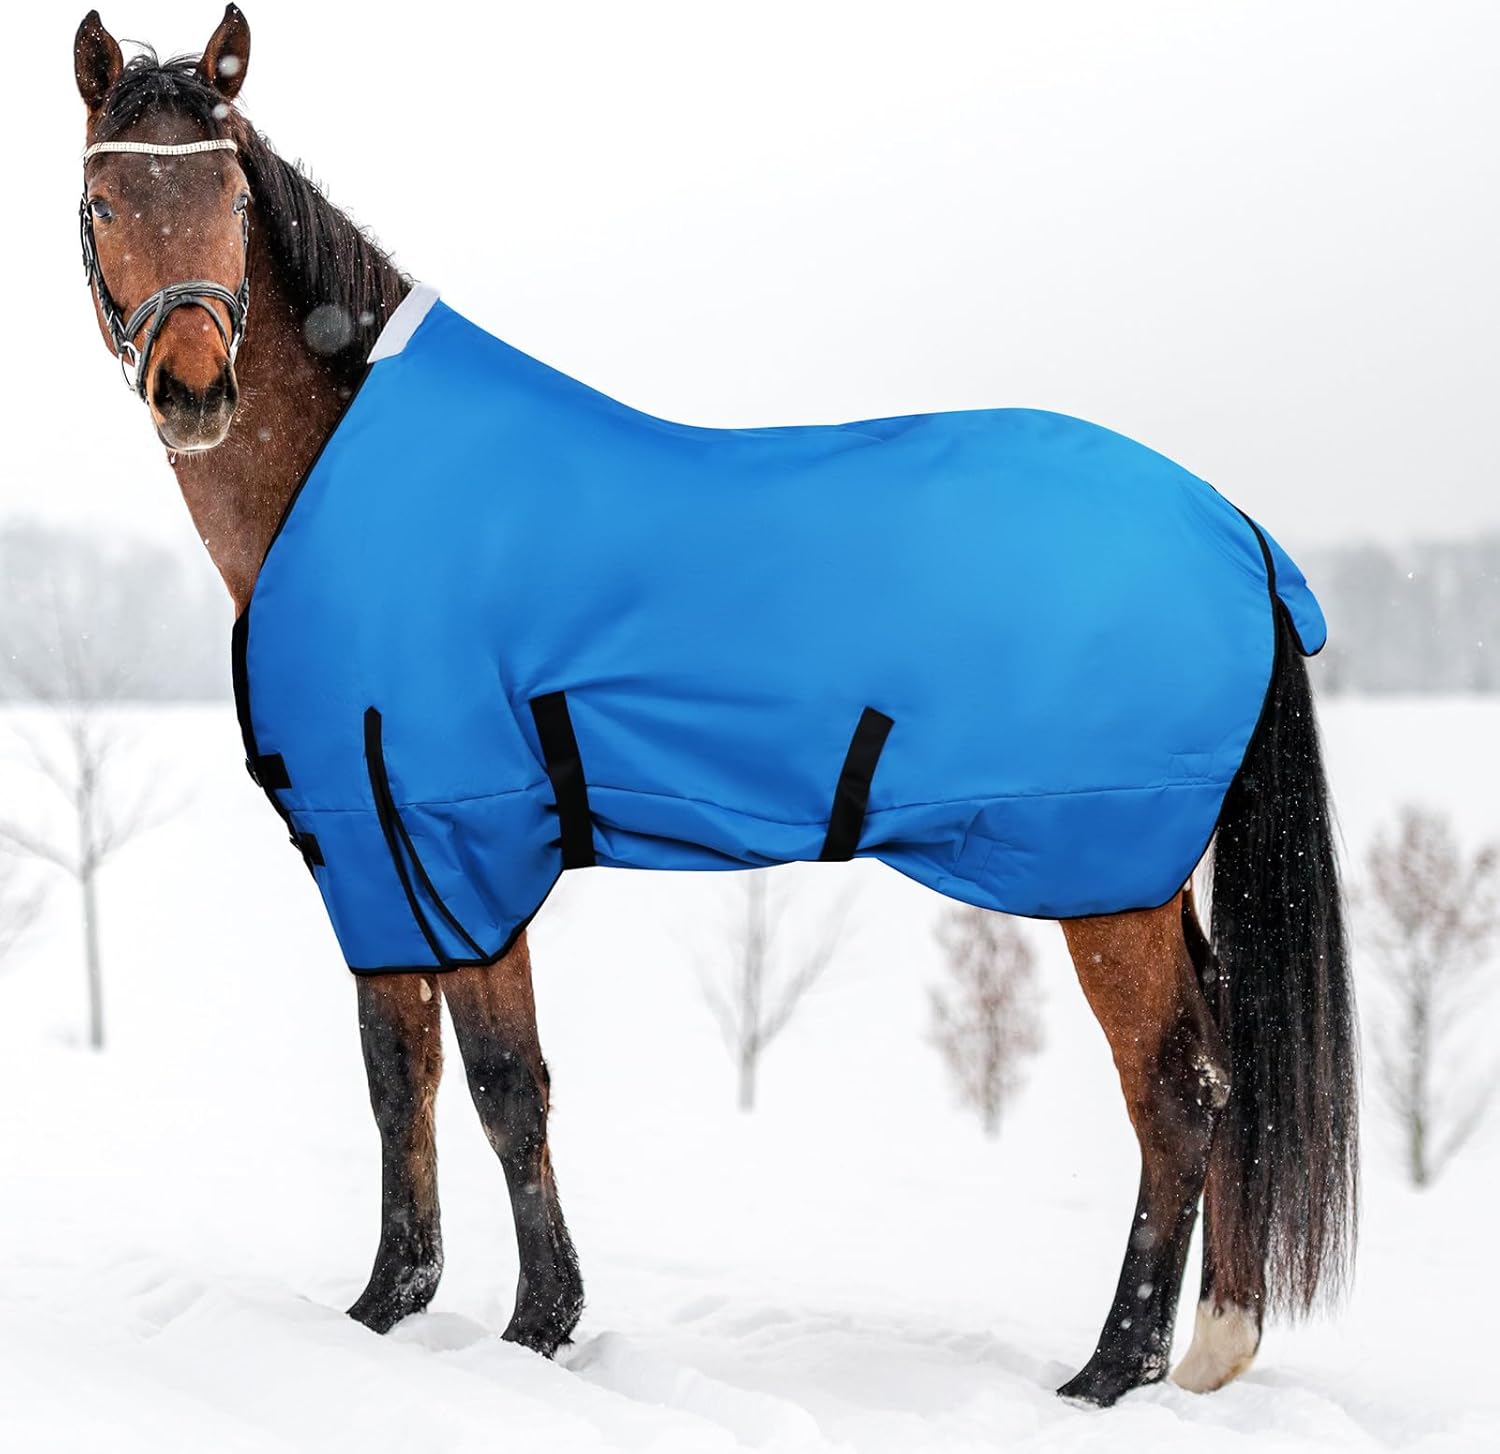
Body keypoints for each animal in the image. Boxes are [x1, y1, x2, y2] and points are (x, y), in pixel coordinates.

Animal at [72, 6, 1358, 1408]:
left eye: (232, 196)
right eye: (102, 200)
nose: (195, 387)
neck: (335, 486)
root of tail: (1237, 530)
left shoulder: (456, 845)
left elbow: (504, 1086)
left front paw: (537, 1326)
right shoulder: (374, 857)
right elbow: (396, 1079)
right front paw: (385, 1307)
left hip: (1104, 878)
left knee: (1180, 1091)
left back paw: (1108, 1371)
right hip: (1151, 874)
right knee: (1226, 1071)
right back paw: (1209, 1344)